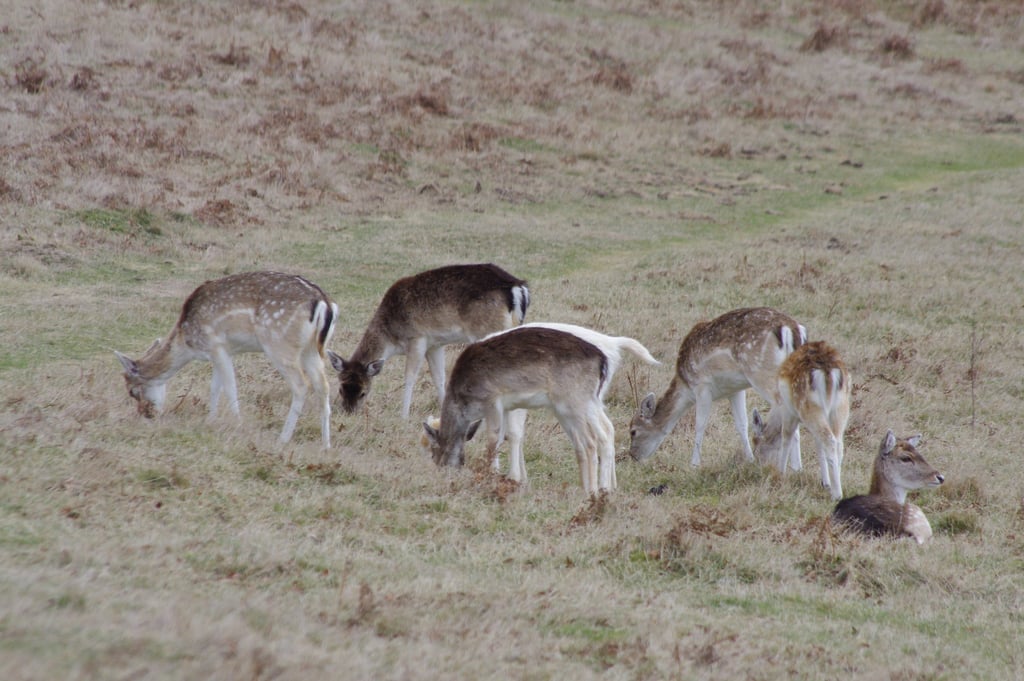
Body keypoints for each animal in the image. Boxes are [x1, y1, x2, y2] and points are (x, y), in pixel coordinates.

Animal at [114, 271, 339, 448]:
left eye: (132, 391)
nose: (147, 414)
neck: (187, 342)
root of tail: (325, 304)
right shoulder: (222, 352)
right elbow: (215, 387)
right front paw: (210, 420)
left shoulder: (217, 345)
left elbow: (230, 386)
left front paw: (238, 423)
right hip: (311, 350)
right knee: (323, 385)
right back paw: (326, 444)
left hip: (279, 344)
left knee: (301, 385)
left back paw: (283, 439)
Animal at [327, 263, 529, 420]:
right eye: (341, 388)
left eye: (363, 392)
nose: (348, 412)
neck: (393, 338)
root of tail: (517, 288)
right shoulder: (435, 345)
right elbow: (439, 378)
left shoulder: (417, 338)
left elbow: (410, 377)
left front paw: (404, 416)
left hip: (488, 330)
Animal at [421, 323, 659, 497]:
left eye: (434, 450)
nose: (440, 472)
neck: (465, 401)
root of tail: (606, 355)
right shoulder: (509, 406)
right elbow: (510, 436)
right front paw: (515, 479)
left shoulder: (493, 400)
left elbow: (494, 439)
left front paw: (493, 477)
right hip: (575, 405)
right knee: (593, 437)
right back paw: (597, 487)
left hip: (577, 401)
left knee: (597, 436)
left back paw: (597, 489)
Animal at [628, 307, 807, 468]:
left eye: (633, 431)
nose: (633, 456)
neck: (686, 386)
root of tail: (791, 329)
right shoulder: (735, 389)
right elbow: (742, 424)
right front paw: (750, 460)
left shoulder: (702, 386)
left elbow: (700, 424)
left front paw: (694, 464)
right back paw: (796, 469)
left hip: (762, 373)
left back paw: (794, 468)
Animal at [751, 340, 851, 500]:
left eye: (755, 444)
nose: (758, 465)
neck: (776, 405)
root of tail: (828, 371)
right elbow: (818, 445)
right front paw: (825, 482)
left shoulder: (788, 410)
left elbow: (786, 437)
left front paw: (780, 474)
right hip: (841, 407)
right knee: (838, 442)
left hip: (809, 407)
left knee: (829, 440)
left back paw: (837, 494)